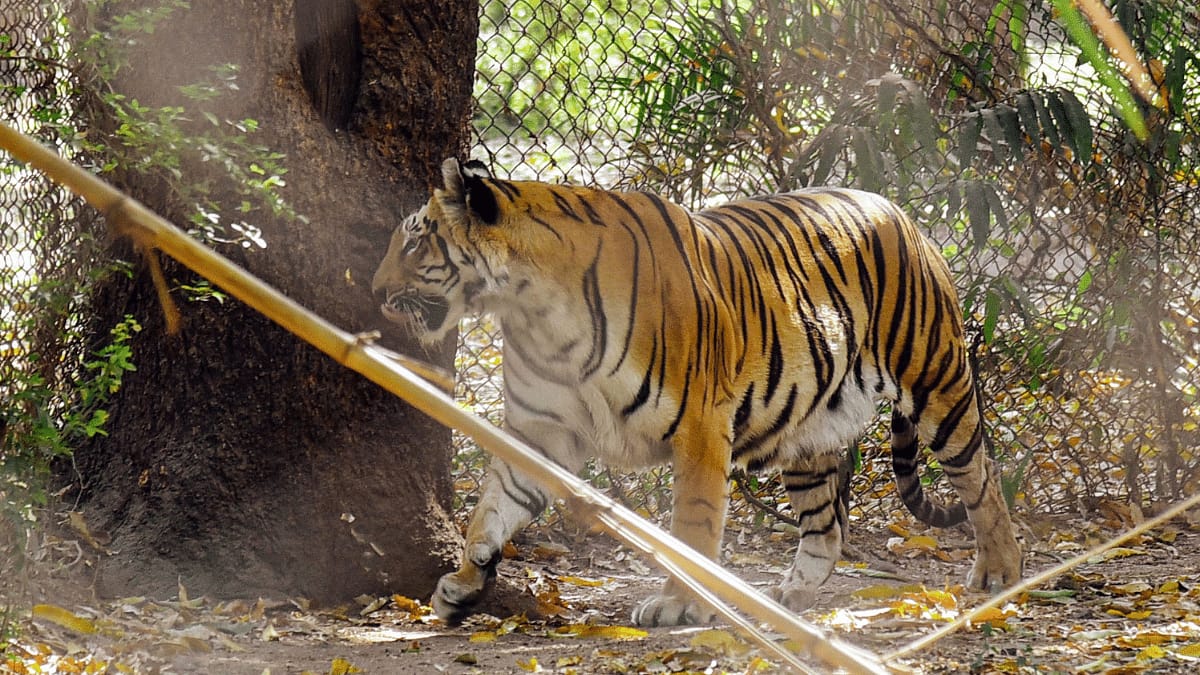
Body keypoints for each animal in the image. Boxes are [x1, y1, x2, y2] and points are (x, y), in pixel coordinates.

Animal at [371, 158, 1022, 626]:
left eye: (413, 243)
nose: (375, 291)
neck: (530, 306)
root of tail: (896, 209)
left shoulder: (700, 426)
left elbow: (693, 523)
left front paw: (680, 605)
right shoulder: (540, 433)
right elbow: (494, 506)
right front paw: (463, 583)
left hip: (936, 381)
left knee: (982, 478)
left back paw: (1000, 572)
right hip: (808, 430)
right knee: (825, 526)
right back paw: (790, 596)